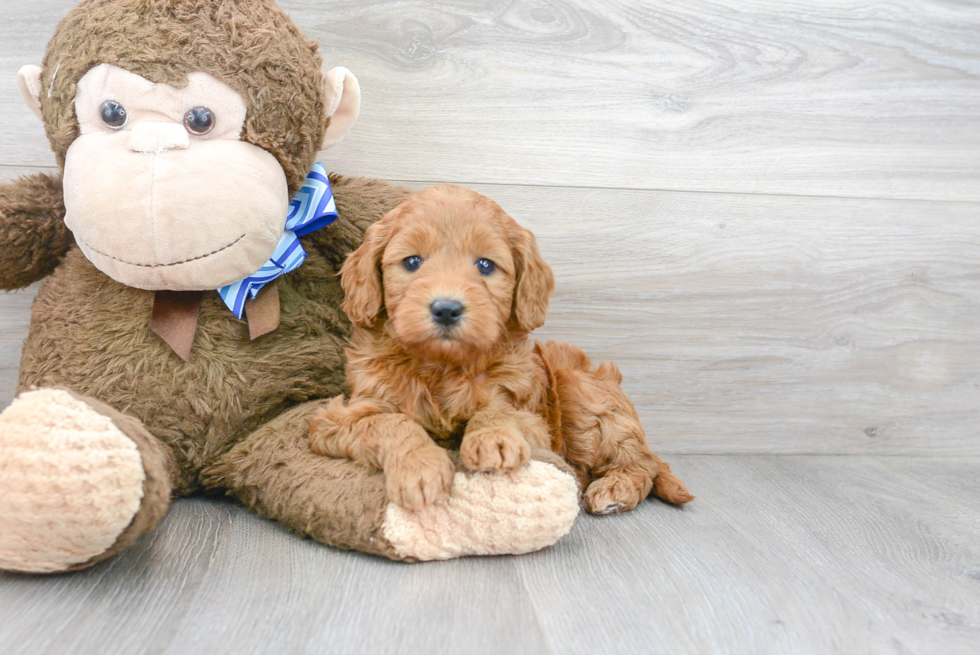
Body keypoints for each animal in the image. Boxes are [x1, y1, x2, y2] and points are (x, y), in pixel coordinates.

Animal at [310, 183, 692, 512]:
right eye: (412, 262)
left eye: (484, 265)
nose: (446, 309)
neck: (443, 365)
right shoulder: (342, 416)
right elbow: (392, 422)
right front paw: (420, 467)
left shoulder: (533, 421)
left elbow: (495, 411)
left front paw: (493, 440)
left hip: (580, 390)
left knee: (643, 463)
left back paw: (615, 489)